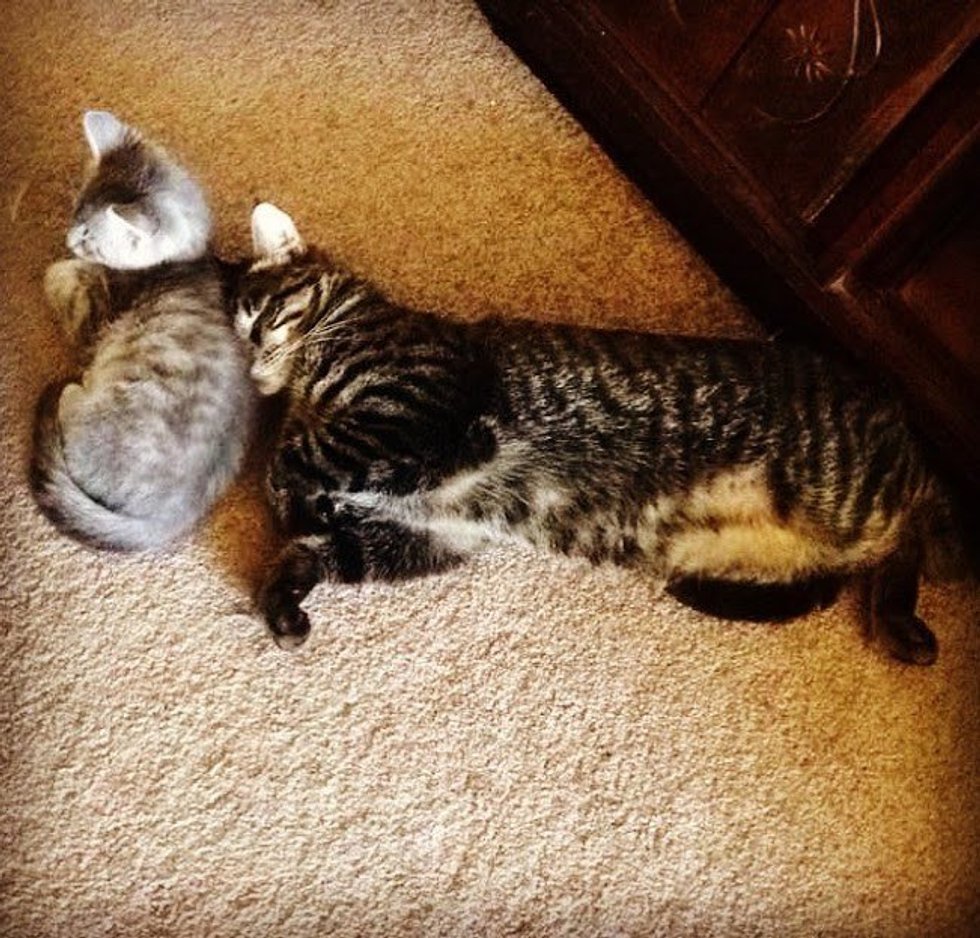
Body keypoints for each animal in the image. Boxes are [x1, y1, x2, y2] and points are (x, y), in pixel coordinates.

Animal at [30, 111, 255, 551]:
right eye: (75, 212)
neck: (184, 260)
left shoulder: (93, 313)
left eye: (89, 237)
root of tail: (172, 516)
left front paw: (60, 265)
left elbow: (58, 275)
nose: (69, 238)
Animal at [234, 202, 971, 663]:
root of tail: (892, 407)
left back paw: (904, 623)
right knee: (854, 572)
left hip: (854, 493)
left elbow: (293, 461)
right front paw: (286, 594)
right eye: (237, 335)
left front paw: (293, 506)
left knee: (923, 519)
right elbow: (320, 551)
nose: (251, 358)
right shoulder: (434, 534)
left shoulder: (416, 415)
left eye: (262, 316)